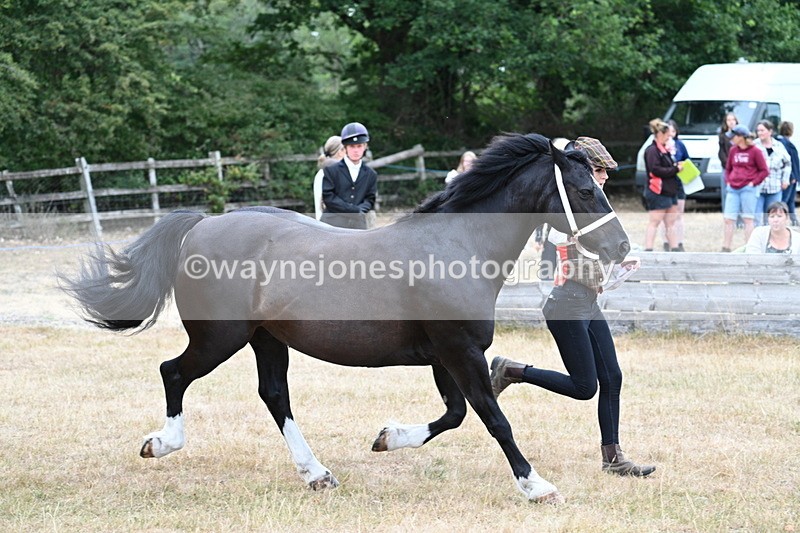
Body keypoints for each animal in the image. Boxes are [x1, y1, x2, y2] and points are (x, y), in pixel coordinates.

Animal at [60, 133, 630, 503]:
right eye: (585, 190)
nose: (622, 247)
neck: (457, 246)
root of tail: (202, 225)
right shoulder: (459, 352)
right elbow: (494, 419)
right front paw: (537, 486)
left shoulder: (447, 357)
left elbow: (454, 415)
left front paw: (387, 438)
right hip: (219, 339)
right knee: (173, 372)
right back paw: (161, 444)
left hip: (267, 339)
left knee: (274, 395)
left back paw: (316, 474)